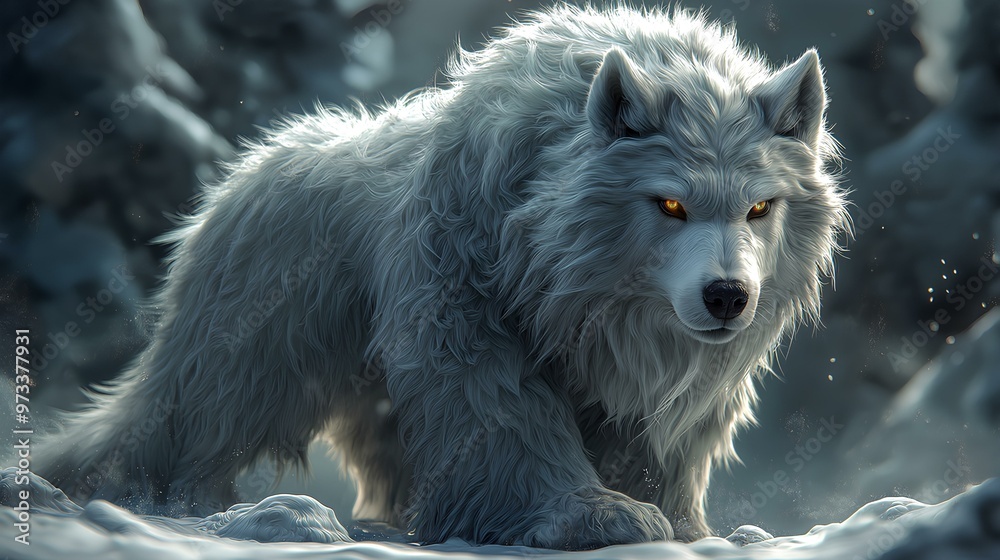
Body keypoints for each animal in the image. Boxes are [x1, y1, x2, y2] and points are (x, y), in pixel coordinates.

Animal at [36, 5, 848, 549]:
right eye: (670, 202)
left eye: (761, 206)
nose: (727, 296)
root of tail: (238, 175)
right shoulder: (466, 273)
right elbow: (494, 400)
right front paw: (592, 515)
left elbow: (656, 435)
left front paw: (676, 521)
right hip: (264, 321)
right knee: (196, 415)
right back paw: (161, 502)